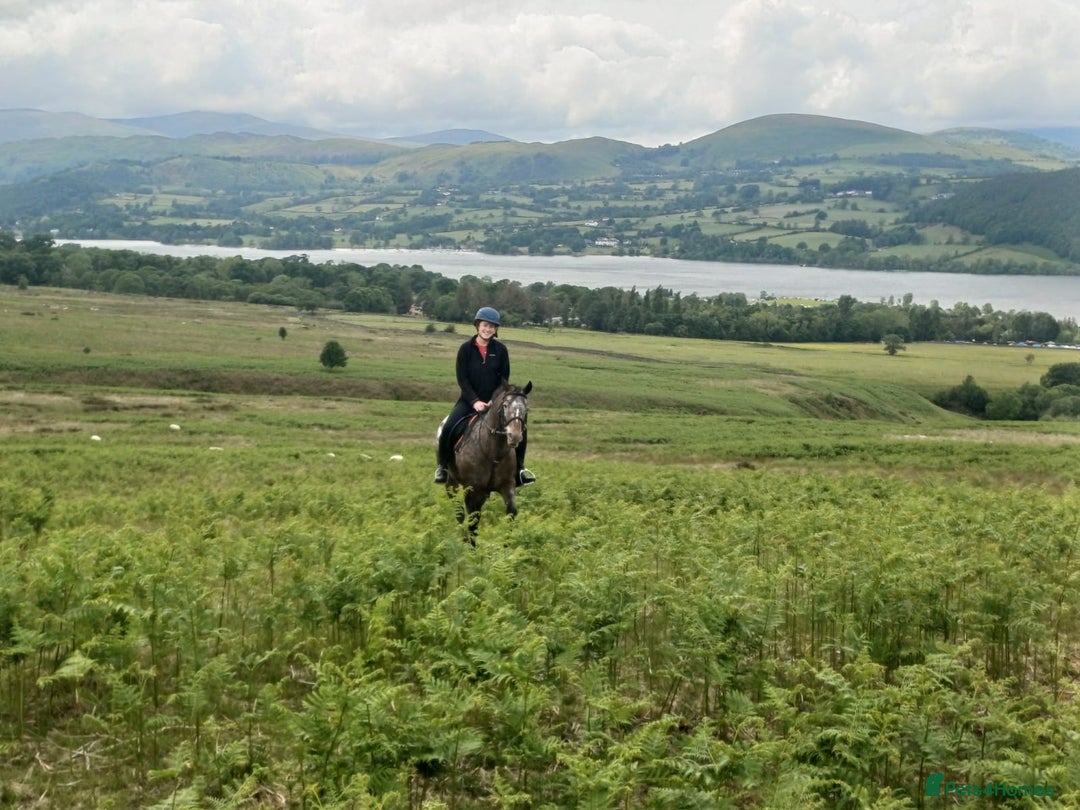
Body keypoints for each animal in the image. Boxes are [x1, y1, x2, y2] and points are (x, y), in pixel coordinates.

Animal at [438, 380, 532, 538]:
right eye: (505, 405)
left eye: (526, 409)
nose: (515, 436)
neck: (493, 451)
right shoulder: (472, 490)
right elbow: (472, 523)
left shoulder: (507, 486)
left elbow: (511, 515)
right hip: (452, 484)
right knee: (459, 513)